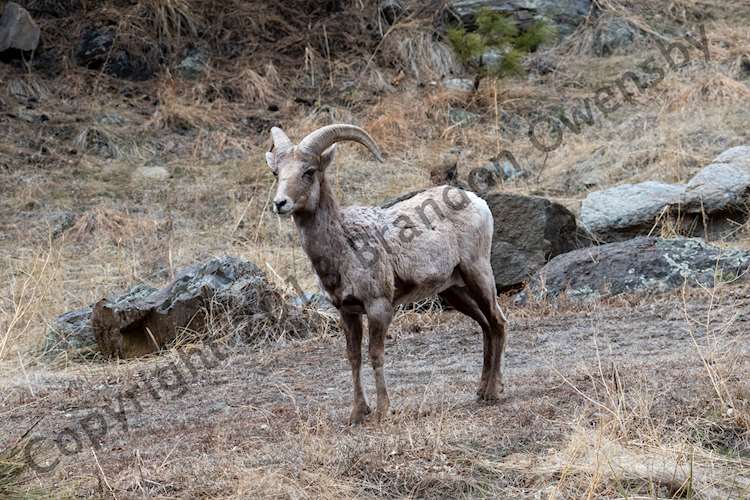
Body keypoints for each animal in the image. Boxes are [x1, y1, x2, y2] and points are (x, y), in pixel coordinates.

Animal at [266, 124, 512, 422]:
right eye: (277, 173)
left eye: (309, 171)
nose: (281, 203)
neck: (345, 248)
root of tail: (477, 201)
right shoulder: (347, 312)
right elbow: (354, 357)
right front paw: (357, 414)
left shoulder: (379, 308)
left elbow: (376, 355)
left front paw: (383, 410)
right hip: (455, 291)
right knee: (485, 326)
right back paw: (481, 390)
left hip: (478, 274)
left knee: (498, 322)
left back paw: (494, 392)